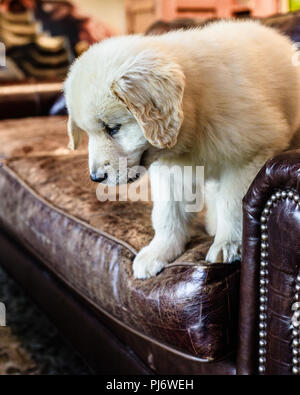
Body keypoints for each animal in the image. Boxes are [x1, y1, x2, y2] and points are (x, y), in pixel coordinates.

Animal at [63, 19, 300, 278]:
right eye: (88, 134)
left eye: (112, 128)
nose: (96, 178)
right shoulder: (169, 171)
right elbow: (167, 213)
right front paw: (158, 251)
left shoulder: (249, 155)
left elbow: (233, 204)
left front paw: (228, 245)